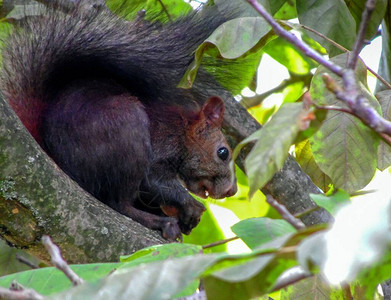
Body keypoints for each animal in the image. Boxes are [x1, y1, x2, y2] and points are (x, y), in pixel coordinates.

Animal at [0, 1, 237, 241]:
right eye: (223, 152)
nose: (232, 191)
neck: (182, 131)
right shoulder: (162, 142)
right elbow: (152, 179)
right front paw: (190, 206)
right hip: (127, 127)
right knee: (118, 203)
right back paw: (160, 222)